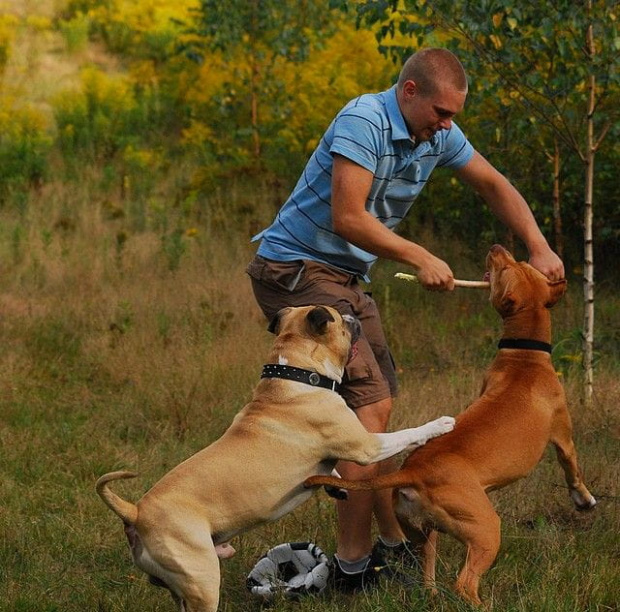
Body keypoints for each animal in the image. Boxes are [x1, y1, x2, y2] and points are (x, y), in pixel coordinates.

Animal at [97, 306, 456, 612]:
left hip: (183, 585)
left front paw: (336, 485)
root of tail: (135, 512)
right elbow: (406, 433)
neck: (296, 376)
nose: (354, 315)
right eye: (340, 319)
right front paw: (439, 424)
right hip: (202, 580)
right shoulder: (367, 446)